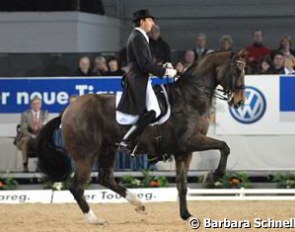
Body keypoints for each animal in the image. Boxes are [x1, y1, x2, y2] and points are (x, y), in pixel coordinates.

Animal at [35, 49, 247, 224]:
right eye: (237, 70)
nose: (239, 102)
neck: (190, 97)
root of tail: (67, 110)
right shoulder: (189, 142)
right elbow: (224, 146)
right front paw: (214, 175)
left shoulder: (184, 152)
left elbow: (182, 186)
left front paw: (187, 216)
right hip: (86, 155)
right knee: (77, 186)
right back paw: (95, 220)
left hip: (107, 149)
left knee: (105, 178)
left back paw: (139, 204)